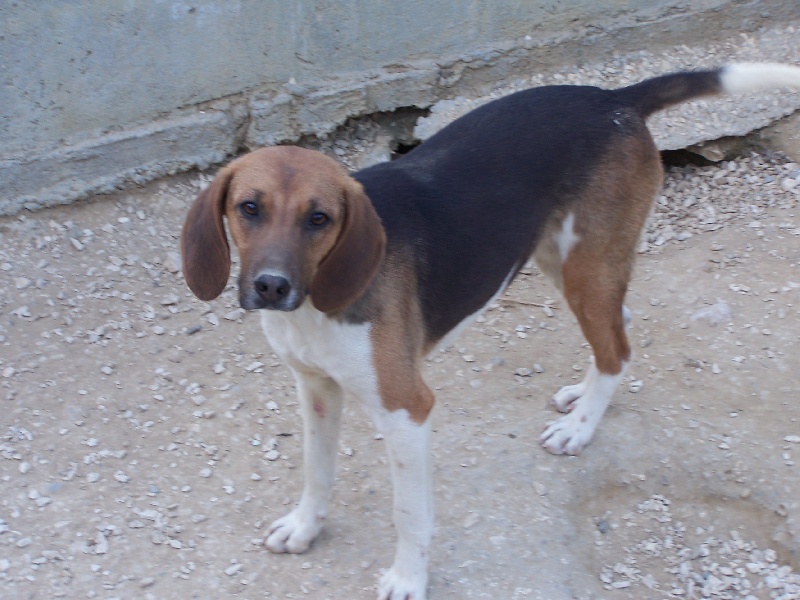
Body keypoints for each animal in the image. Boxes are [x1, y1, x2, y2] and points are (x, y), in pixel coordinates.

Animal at [181, 63, 800, 596]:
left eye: (319, 219)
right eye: (249, 208)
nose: (271, 287)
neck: (316, 303)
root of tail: (614, 99)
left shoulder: (406, 410)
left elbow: (410, 514)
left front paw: (408, 579)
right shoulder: (315, 388)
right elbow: (317, 470)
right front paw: (306, 527)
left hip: (586, 265)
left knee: (618, 348)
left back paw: (579, 428)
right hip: (564, 260)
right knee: (617, 330)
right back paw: (581, 399)